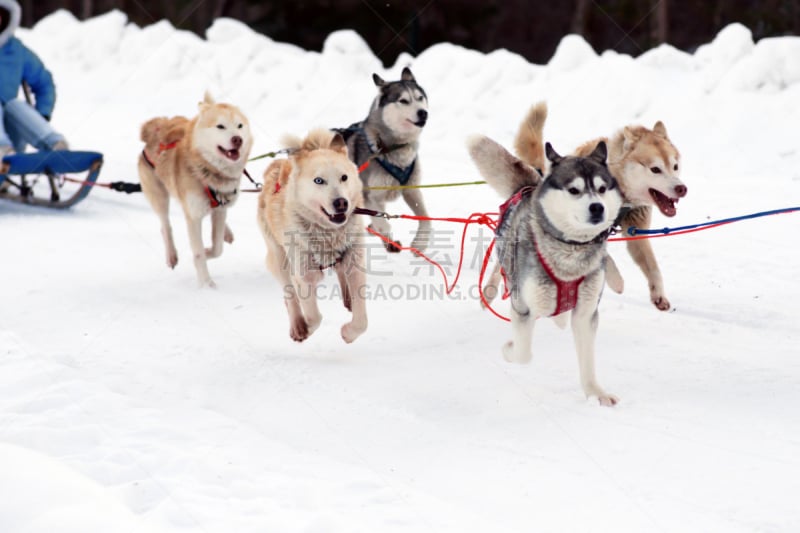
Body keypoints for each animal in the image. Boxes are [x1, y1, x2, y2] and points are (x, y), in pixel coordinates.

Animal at [136, 93, 252, 288]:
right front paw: (206, 284)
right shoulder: (194, 217)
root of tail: (156, 125)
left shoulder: (220, 211)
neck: (207, 171)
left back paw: (227, 232)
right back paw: (171, 254)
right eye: (220, 126)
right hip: (159, 196)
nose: (237, 139)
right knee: (165, 226)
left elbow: (217, 248)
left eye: (239, 126)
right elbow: (198, 254)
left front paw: (209, 250)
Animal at [258, 130, 368, 342]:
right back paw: (297, 324)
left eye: (344, 177)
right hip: (280, 258)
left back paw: (347, 299)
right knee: (290, 295)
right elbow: (314, 316)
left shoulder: (356, 269)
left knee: (340, 273)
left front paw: (348, 333)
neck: (328, 234)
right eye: (319, 181)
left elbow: (362, 322)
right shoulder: (305, 275)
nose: (341, 202)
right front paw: (307, 327)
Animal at [332, 67, 432, 252]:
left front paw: (420, 243)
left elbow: (425, 219)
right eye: (403, 100)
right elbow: (383, 223)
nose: (423, 112)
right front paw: (388, 240)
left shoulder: (412, 190)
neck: (392, 147)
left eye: (420, 98)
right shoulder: (369, 195)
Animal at [468, 134, 624, 404]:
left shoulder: (585, 313)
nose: (597, 207)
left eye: (602, 189)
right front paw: (509, 349)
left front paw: (595, 393)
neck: (571, 252)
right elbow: (523, 354)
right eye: (574, 190)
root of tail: (528, 188)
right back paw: (489, 292)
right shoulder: (523, 308)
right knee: (500, 266)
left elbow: (587, 361)